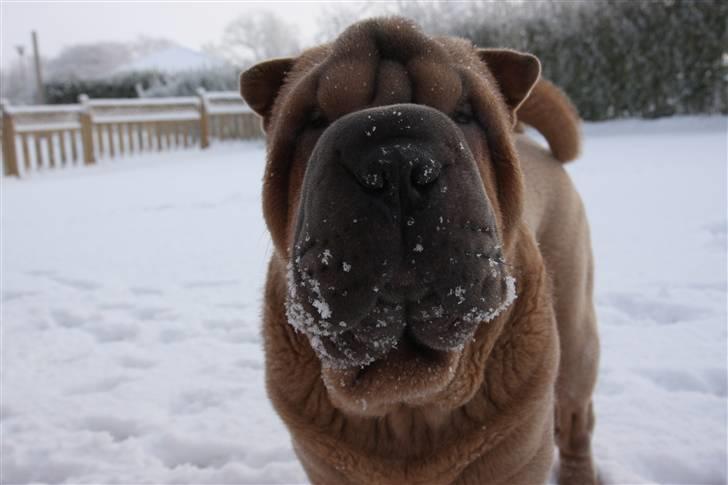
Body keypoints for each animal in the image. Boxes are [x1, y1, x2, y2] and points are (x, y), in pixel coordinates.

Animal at [242, 17, 600, 484]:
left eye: (465, 114)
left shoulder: (514, 456)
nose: (395, 160)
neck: (406, 404)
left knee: (576, 417)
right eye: (314, 119)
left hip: (576, 334)